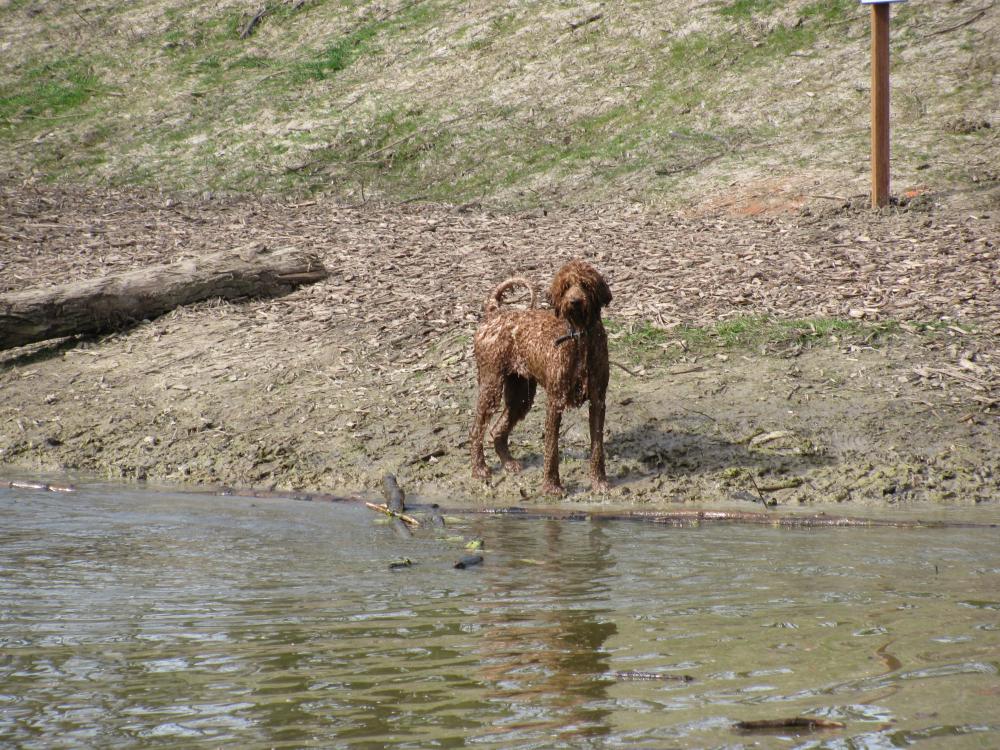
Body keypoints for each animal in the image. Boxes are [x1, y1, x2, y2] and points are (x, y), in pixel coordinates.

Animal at [470, 262, 612, 496]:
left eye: (585, 285)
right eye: (566, 286)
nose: (575, 301)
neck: (579, 337)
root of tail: (494, 313)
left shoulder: (598, 401)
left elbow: (597, 447)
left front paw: (599, 481)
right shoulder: (555, 401)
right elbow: (551, 448)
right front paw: (551, 486)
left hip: (520, 396)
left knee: (496, 430)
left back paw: (508, 462)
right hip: (491, 385)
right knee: (476, 429)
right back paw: (479, 468)